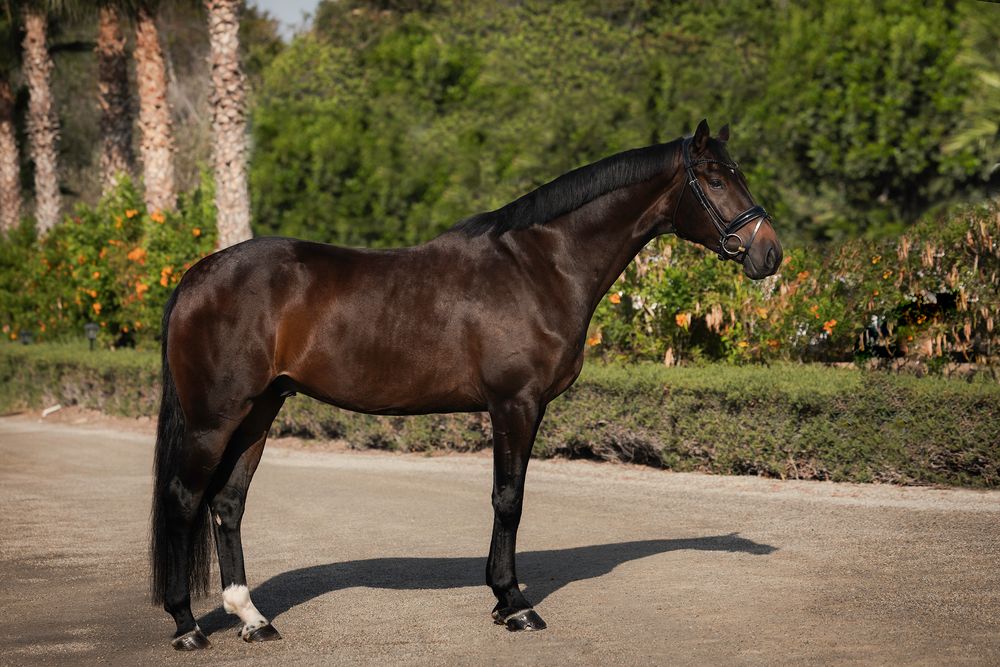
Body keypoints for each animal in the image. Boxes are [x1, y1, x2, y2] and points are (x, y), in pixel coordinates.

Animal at [150, 119, 782, 650]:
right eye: (715, 179)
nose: (770, 253)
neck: (538, 267)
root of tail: (197, 275)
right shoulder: (515, 405)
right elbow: (509, 499)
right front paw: (514, 603)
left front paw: (505, 601)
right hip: (215, 418)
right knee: (184, 500)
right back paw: (186, 626)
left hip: (260, 409)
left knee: (227, 503)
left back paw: (252, 619)